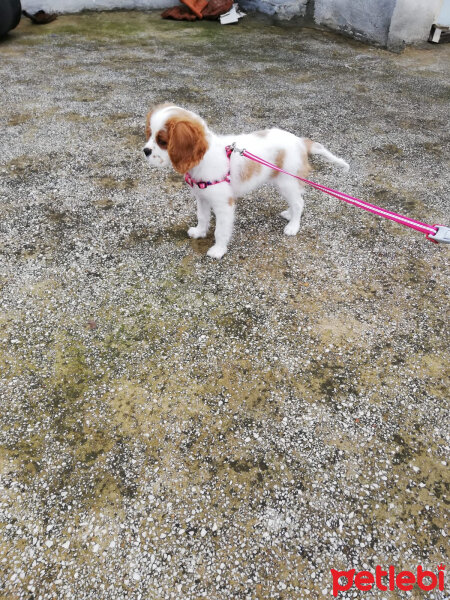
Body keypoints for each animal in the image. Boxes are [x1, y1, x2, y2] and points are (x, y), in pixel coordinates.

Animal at [144, 104, 348, 258]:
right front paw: (199, 232)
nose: (145, 151)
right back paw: (289, 215)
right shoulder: (202, 197)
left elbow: (220, 230)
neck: (203, 158)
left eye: (162, 141)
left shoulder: (223, 205)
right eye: (150, 134)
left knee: (299, 203)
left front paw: (218, 250)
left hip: (287, 182)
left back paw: (293, 226)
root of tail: (300, 141)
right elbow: (202, 217)